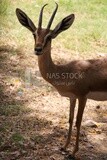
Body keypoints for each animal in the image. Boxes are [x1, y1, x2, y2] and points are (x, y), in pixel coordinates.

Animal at [15, 3, 107, 157]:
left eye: (49, 36)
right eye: (34, 34)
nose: (38, 49)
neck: (65, 70)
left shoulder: (83, 96)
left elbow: (78, 121)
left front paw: (73, 153)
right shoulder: (72, 97)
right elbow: (70, 119)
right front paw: (64, 147)